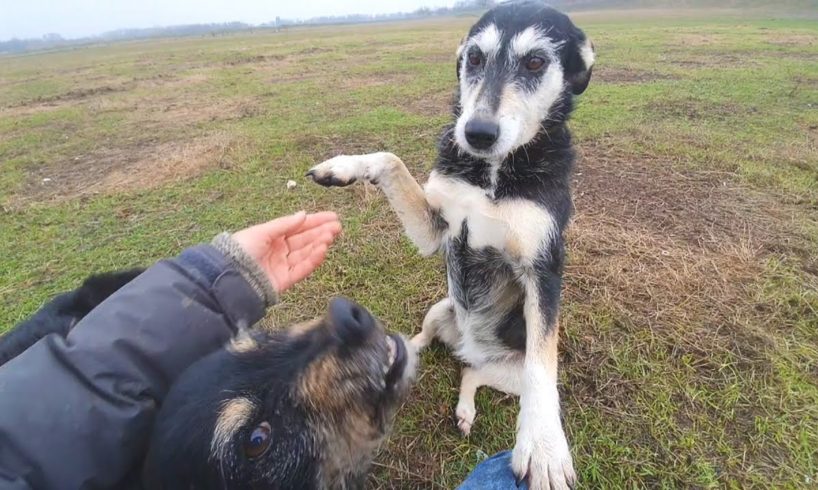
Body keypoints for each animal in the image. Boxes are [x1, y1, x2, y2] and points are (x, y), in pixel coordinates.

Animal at [306, 2, 592, 486]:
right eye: (474, 57)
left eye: (536, 62)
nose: (476, 133)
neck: (493, 171)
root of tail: (467, 345)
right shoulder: (437, 229)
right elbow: (391, 160)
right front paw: (343, 166)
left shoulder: (543, 267)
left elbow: (543, 362)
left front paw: (544, 448)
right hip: (441, 308)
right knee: (429, 342)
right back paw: (396, 354)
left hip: (508, 371)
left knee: (475, 373)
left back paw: (466, 407)